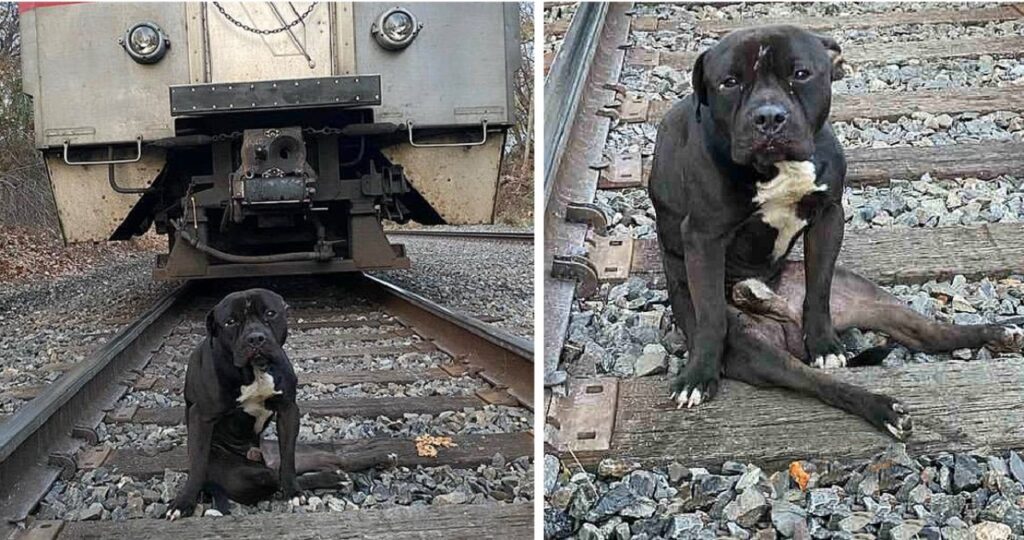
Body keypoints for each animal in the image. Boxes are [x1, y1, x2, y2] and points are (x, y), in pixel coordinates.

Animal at [165, 288, 346, 522]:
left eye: (270, 313)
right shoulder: (201, 416)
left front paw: (293, 492)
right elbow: (197, 463)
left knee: (280, 471)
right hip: (241, 477)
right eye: (230, 322)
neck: (255, 370)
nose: (256, 338)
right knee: (270, 478)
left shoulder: (288, 410)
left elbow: (288, 458)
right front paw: (184, 502)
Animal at [647, 23, 1024, 442]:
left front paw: (824, 340)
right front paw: (699, 376)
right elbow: (711, 312)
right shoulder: (703, 239)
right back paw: (883, 408)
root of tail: (780, 311)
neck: (779, 167)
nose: (769, 117)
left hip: (874, 299)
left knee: (929, 333)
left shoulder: (829, 217)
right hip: (754, 349)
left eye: (801, 74)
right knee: (814, 380)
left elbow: (820, 286)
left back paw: (996, 333)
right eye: (729, 82)